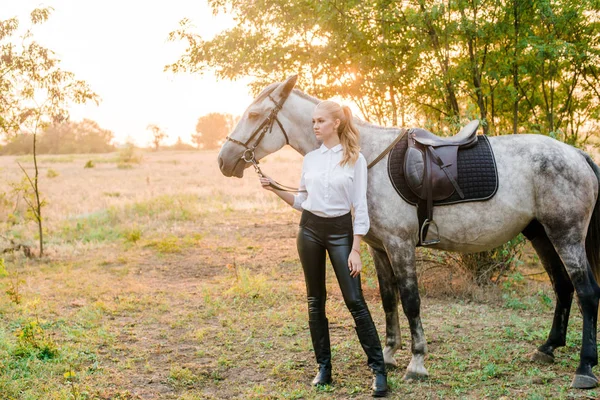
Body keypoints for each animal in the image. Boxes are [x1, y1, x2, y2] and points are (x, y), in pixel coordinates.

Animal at [218, 76, 600, 390]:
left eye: (254, 115)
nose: (224, 160)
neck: (365, 156)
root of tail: (576, 154)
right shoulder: (378, 247)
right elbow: (388, 300)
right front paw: (388, 354)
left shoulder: (400, 244)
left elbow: (411, 300)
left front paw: (416, 363)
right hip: (540, 234)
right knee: (563, 287)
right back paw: (547, 348)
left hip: (566, 234)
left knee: (586, 293)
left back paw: (584, 369)